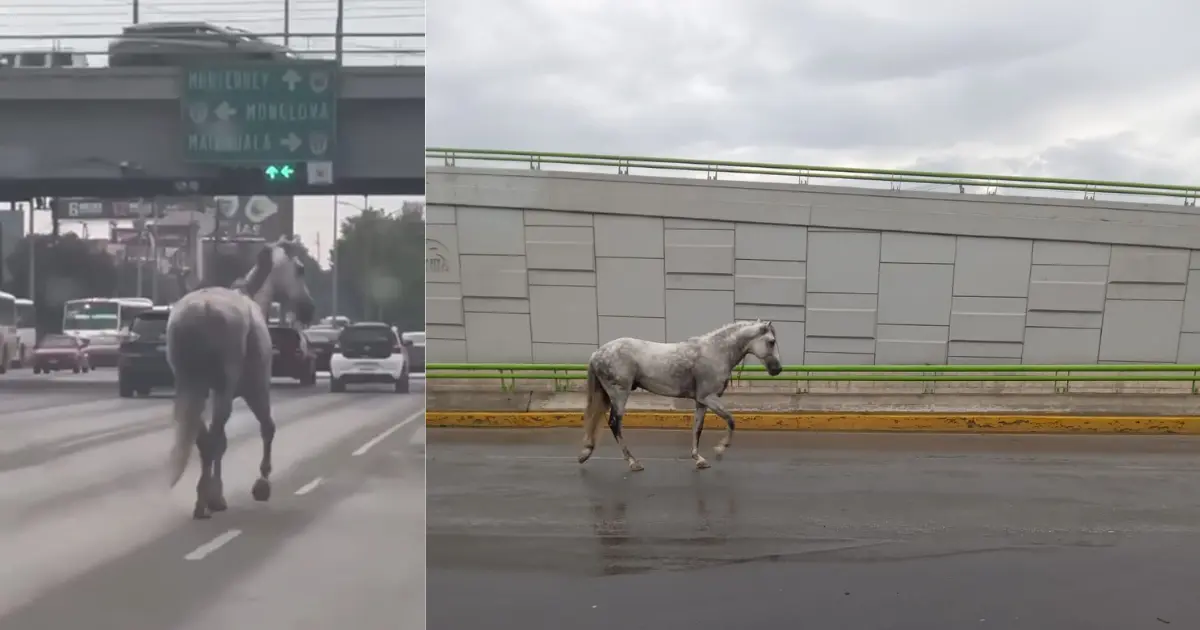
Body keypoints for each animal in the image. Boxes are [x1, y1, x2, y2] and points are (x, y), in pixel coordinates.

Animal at [169, 238, 319, 518]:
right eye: (300, 269)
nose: (308, 309)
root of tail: (200, 312)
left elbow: (222, 442)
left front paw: (219, 492)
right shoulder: (256, 390)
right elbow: (267, 428)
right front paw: (261, 484)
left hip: (189, 385)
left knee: (203, 438)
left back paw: (204, 498)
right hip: (226, 389)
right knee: (212, 439)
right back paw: (205, 502)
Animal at [576, 319, 782, 470]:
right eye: (771, 342)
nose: (777, 369)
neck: (716, 352)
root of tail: (597, 354)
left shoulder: (701, 401)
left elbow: (697, 428)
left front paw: (699, 459)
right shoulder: (708, 397)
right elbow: (731, 420)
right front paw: (720, 450)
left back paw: (586, 453)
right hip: (619, 394)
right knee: (614, 424)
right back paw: (633, 462)